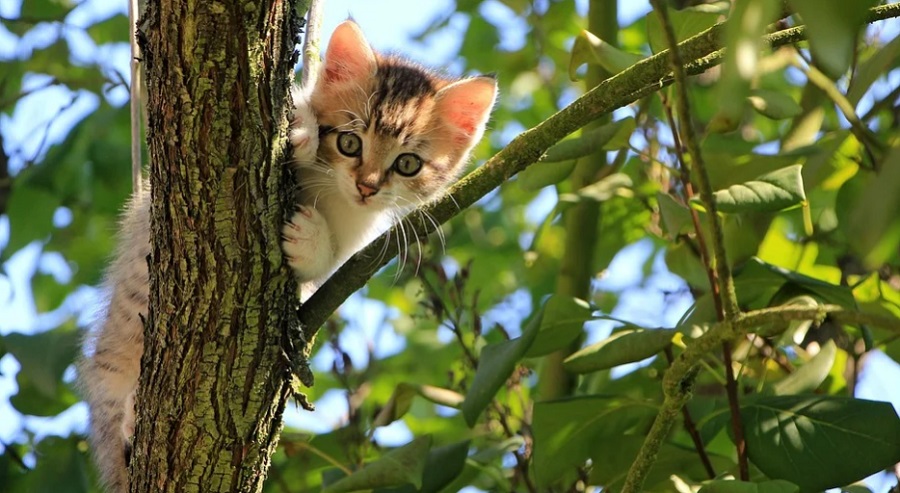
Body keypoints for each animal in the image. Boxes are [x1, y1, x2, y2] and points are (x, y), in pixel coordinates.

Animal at [80, 19, 496, 492]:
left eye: (408, 164)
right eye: (350, 142)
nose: (367, 187)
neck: (331, 191)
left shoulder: (354, 239)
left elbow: (328, 262)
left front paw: (310, 239)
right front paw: (301, 128)